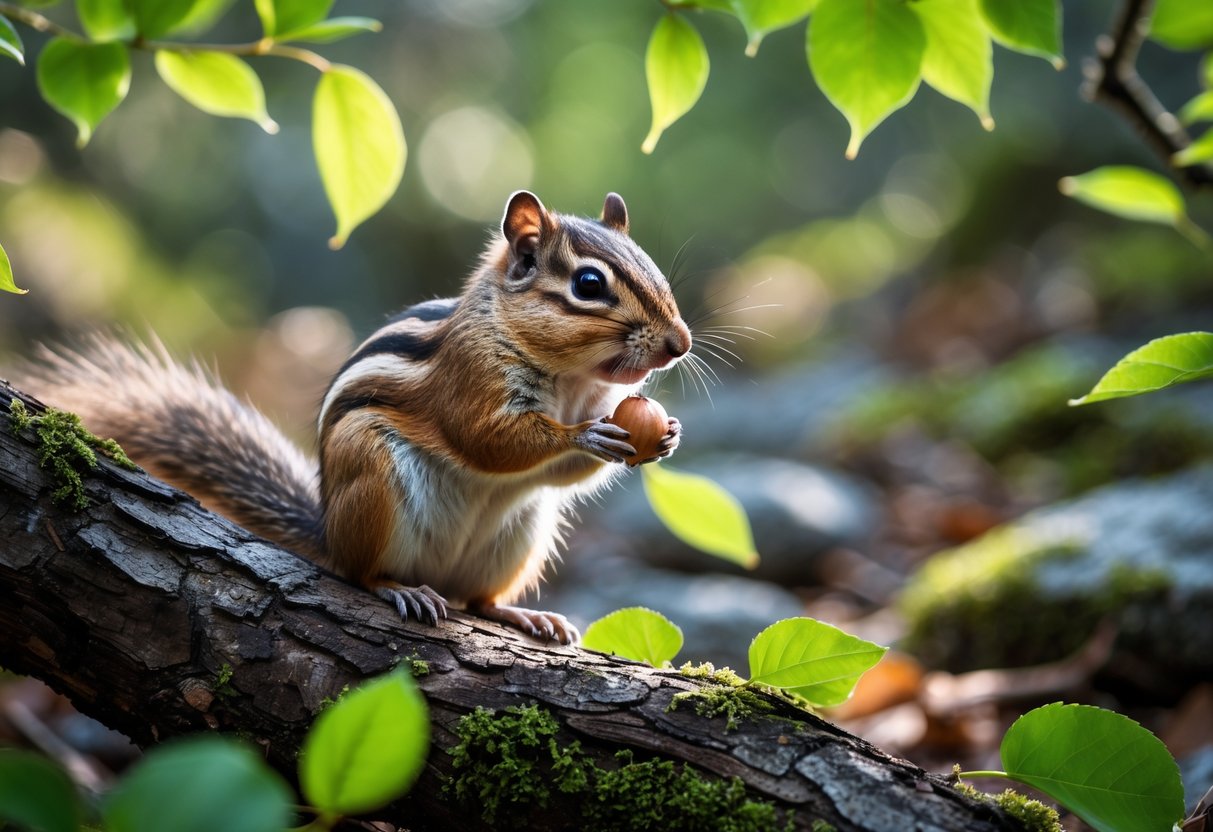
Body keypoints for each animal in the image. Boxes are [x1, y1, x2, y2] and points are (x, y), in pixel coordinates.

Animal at [19, 191, 691, 644]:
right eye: (588, 284)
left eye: (654, 267)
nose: (679, 344)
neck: (572, 379)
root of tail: (329, 532)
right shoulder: (470, 378)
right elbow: (488, 440)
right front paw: (587, 436)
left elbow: (555, 472)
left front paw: (663, 437)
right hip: (371, 478)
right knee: (362, 575)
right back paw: (400, 589)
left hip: (521, 534)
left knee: (477, 600)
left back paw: (523, 613)